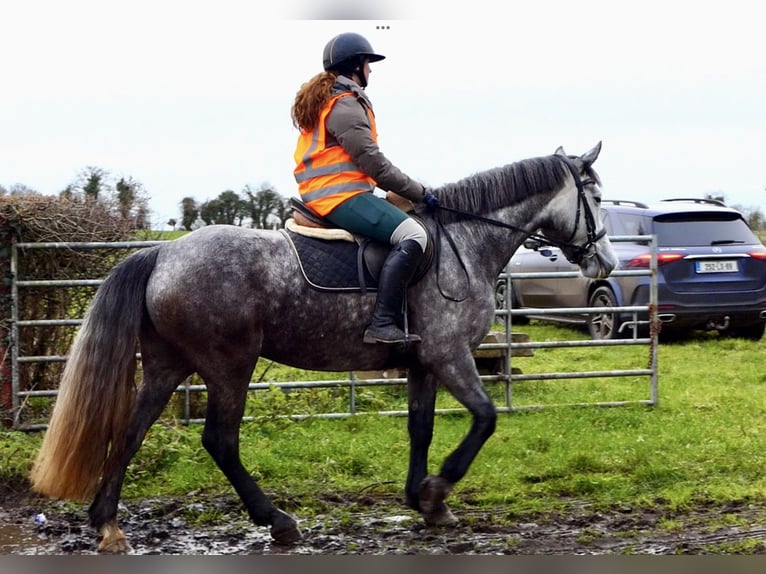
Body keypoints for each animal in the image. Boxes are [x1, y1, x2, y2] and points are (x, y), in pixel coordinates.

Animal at [30, 142, 618, 553]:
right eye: (595, 197)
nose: (605, 262)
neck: (464, 244)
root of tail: (163, 253)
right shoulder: (450, 357)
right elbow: (486, 418)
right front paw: (437, 490)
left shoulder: (423, 364)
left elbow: (420, 428)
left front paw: (422, 501)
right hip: (228, 365)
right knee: (220, 441)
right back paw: (277, 522)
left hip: (167, 364)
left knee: (132, 431)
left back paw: (107, 524)